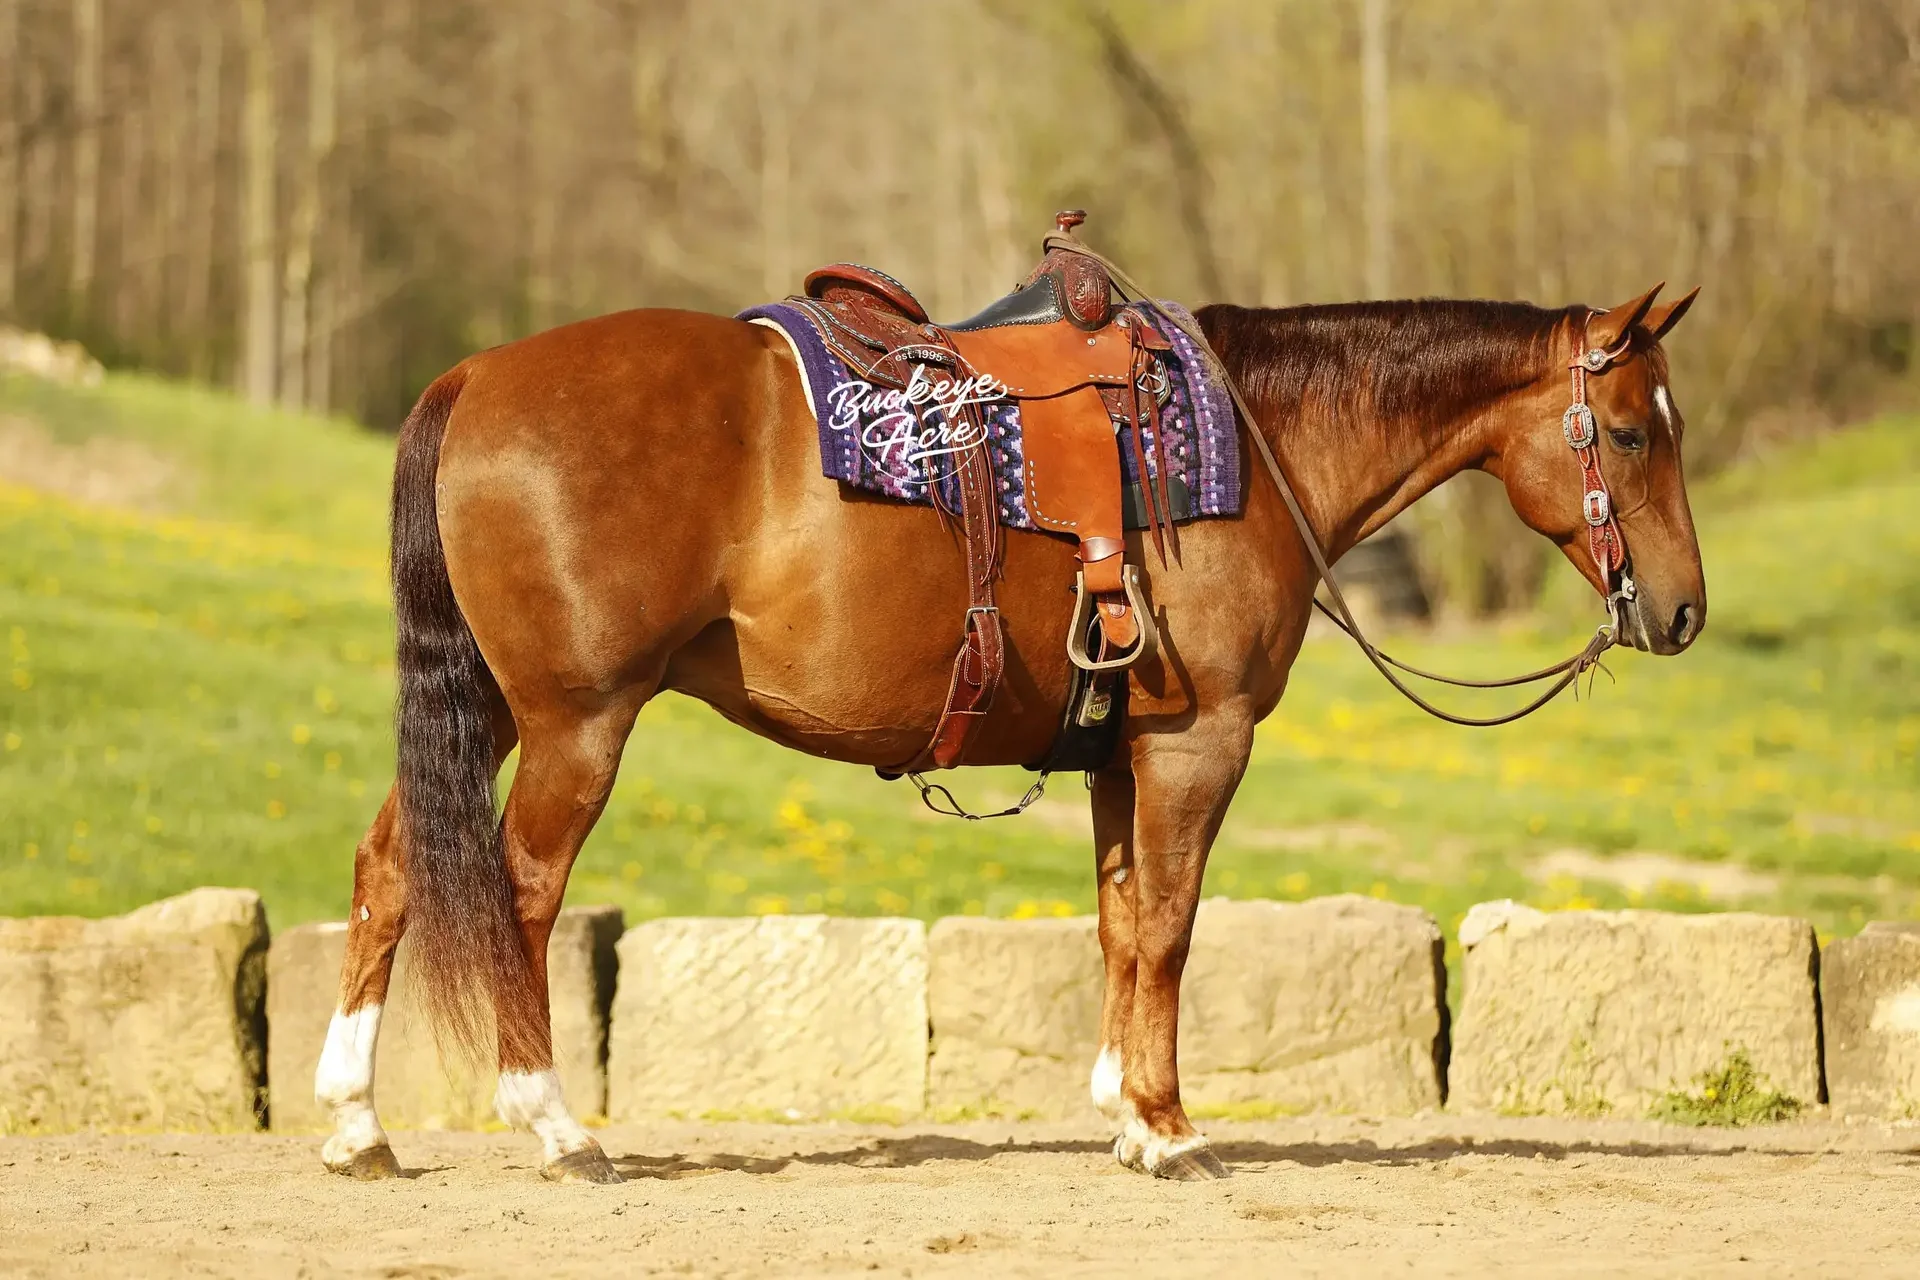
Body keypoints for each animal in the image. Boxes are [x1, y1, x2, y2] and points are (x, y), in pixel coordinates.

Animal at [312, 281, 1704, 1183]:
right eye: (1633, 430)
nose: (1682, 609)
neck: (1256, 445)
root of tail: (476, 374)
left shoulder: (1120, 754)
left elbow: (1120, 922)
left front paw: (1122, 1110)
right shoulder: (1202, 743)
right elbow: (1170, 926)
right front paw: (1169, 1127)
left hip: (490, 704)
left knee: (389, 870)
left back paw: (356, 1122)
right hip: (576, 722)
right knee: (521, 892)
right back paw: (554, 1123)